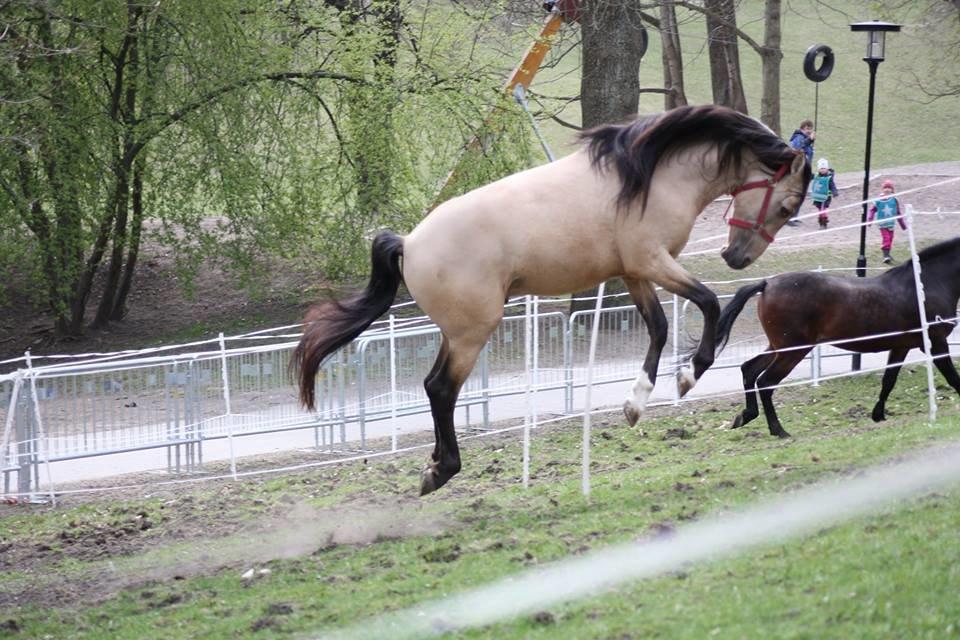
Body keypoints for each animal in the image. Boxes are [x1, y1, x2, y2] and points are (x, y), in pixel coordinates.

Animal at [290, 105, 808, 496]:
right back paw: (442, 469)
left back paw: (434, 463)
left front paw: (636, 402)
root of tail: (409, 243)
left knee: (434, 387)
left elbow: (659, 328)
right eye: (786, 206)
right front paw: (687, 375)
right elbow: (707, 304)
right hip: (473, 332)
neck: (656, 174)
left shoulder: (634, 272)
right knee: (440, 388)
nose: (737, 258)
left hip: (458, 332)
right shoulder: (654, 262)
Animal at [712, 236, 960, 440]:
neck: (926, 284)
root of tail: (767, 284)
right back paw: (778, 430)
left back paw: (745, 416)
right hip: (793, 350)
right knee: (765, 382)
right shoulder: (936, 343)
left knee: (749, 370)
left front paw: (878, 415)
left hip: (778, 347)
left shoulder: (901, 346)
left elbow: (889, 380)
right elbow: (953, 377)